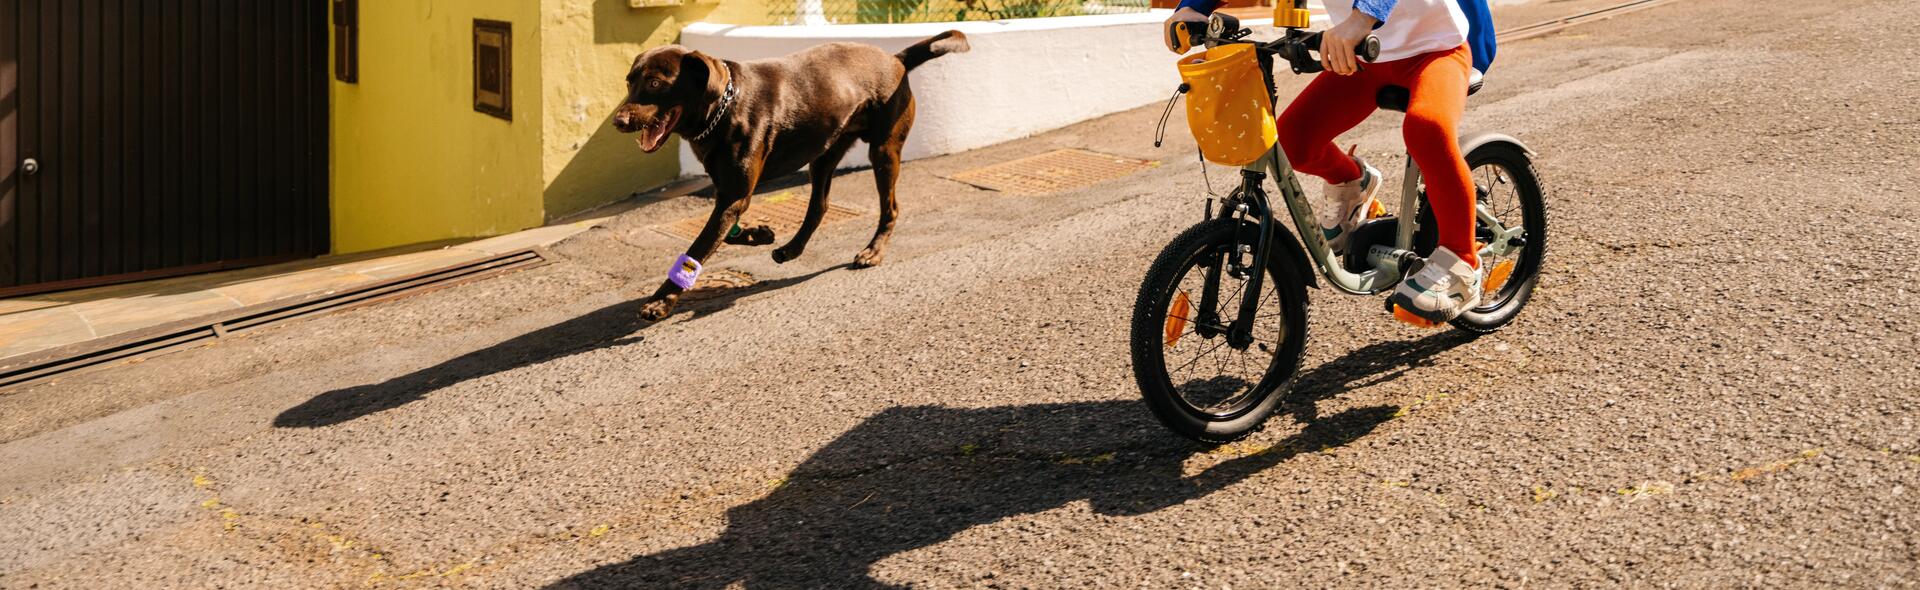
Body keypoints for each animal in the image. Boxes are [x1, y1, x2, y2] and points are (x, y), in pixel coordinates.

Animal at [618, 30, 975, 320]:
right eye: (629, 81)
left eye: (655, 83)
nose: (618, 122)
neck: (723, 106)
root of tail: (896, 60)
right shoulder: (728, 194)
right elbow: (723, 234)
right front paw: (759, 234)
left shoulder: (733, 197)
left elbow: (697, 249)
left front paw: (661, 301)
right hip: (825, 153)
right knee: (819, 207)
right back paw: (791, 249)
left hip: (883, 150)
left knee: (891, 208)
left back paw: (873, 251)